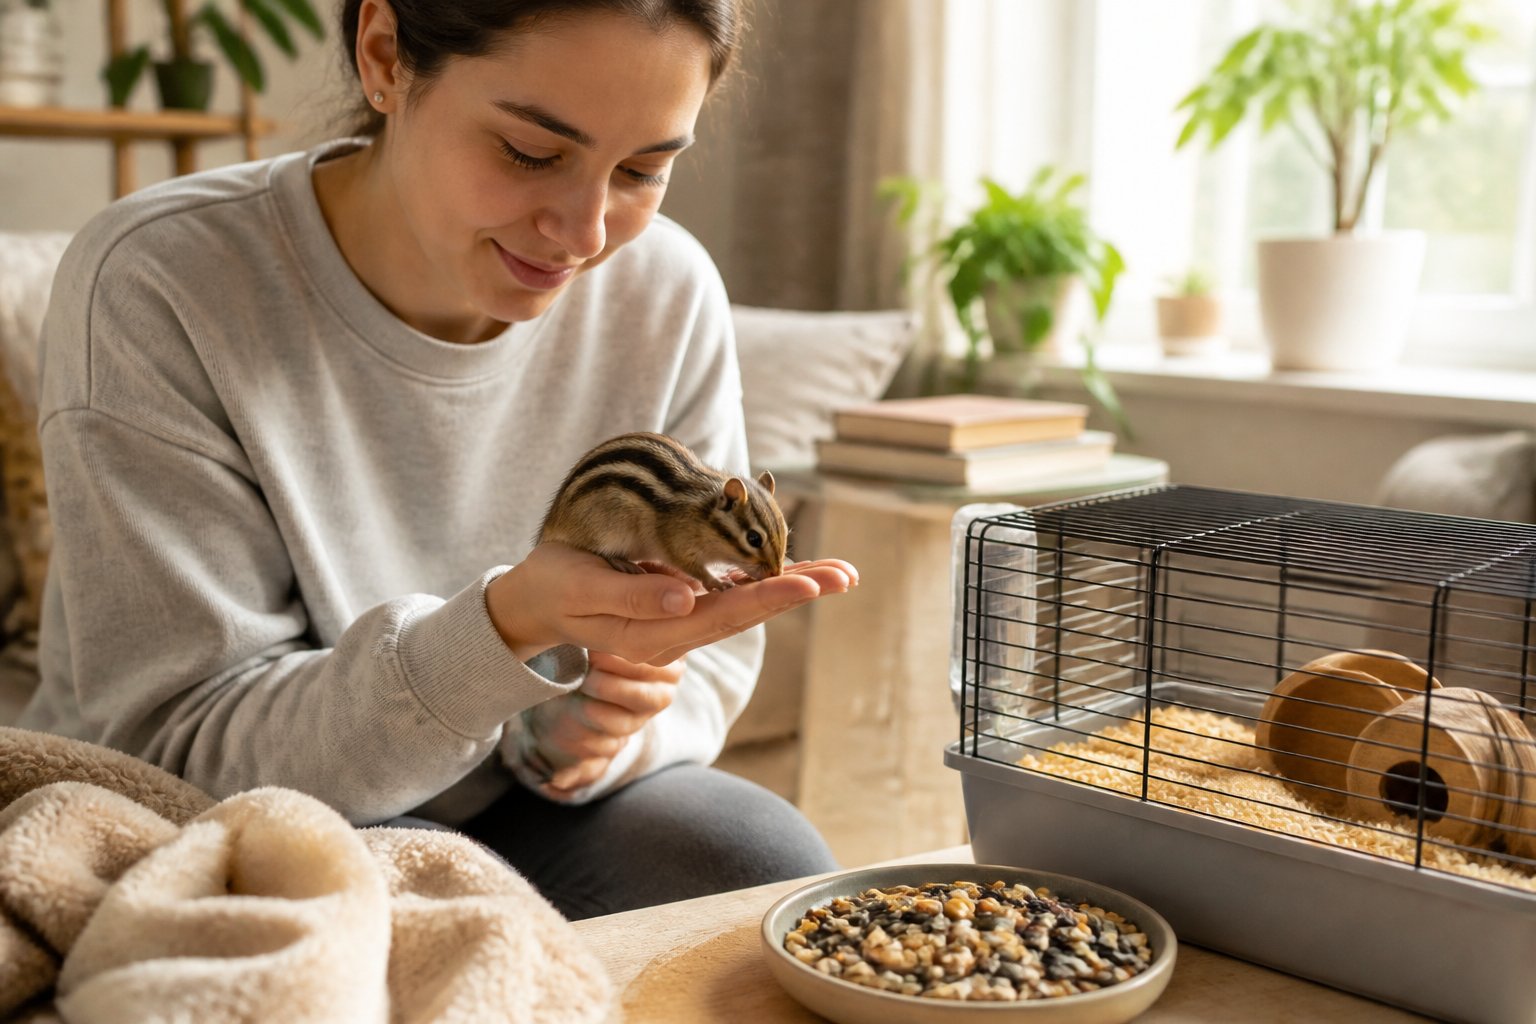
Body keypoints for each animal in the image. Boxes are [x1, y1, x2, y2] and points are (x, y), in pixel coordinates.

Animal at [536, 432, 787, 592]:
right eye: (754, 539)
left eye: (785, 531)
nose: (777, 573)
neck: (703, 514)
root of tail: (553, 521)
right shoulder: (678, 545)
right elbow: (691, 567)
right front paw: (716, 580)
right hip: (607, 529)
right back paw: (624, 563)